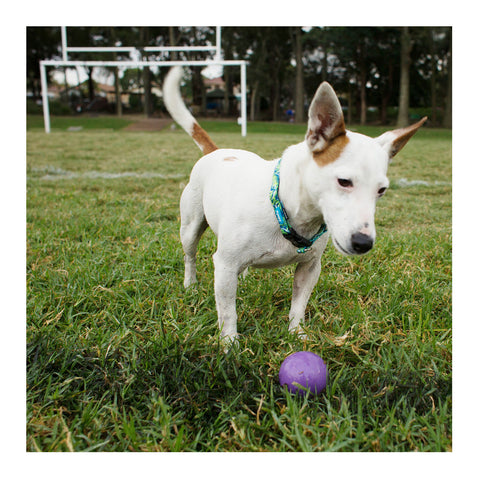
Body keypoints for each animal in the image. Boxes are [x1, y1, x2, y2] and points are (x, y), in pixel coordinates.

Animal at [163, 67, 426, 344]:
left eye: (381, 190)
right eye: (344, 181)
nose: (363, 243)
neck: (285, 209)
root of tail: (216, 151)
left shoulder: (310, 267)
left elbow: (299, 304)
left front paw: (297, 334)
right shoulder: (224, 265)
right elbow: (227, 312)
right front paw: (229, 344)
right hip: (190, 226)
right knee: (190, 255)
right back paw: (190, 285)